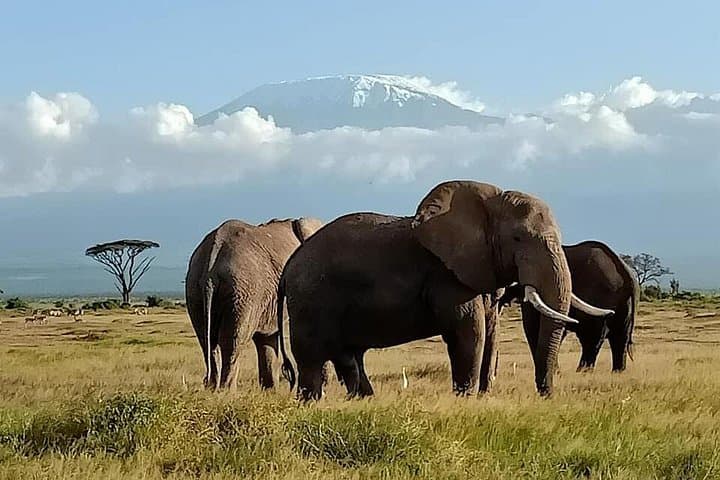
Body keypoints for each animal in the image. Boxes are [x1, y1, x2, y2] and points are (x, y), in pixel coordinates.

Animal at [185, 216, 323, 390]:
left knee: (207, 342)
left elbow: (266, 341)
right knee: (233, 342)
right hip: (244, 292)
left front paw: (270, 392)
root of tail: (211, 263)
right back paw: (226, 392)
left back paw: (211, 388)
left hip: (195, 290)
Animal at [276, 181, 612, 400]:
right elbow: (468, 330)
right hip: (311, 300)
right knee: (313, 358)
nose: (546, 395)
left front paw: (480, 397)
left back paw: (364, 399)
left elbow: (487, 330)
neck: (490, 202)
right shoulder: (447, 274)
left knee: (348, 355)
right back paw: (312, 402)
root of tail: (290, 264)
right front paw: (465, 399)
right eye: (518, 239)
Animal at [498, 240, 639, 373]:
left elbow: (534, 328)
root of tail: (628, 274)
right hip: (623, 302)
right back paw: (616, 372)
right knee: (620, 338)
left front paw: (554, 372)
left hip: (602, 296)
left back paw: (582, 371)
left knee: (592, 337)